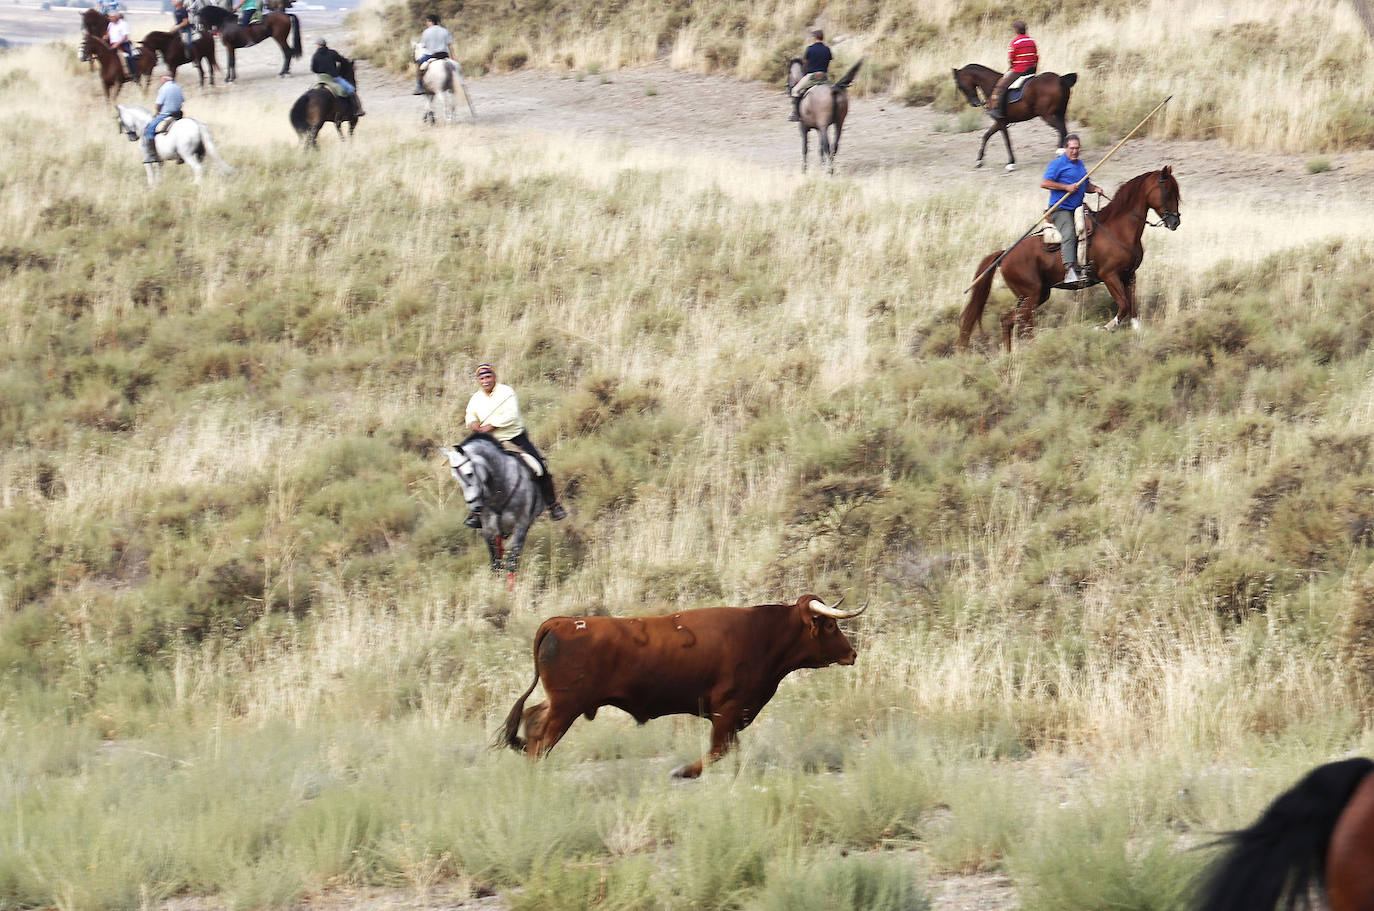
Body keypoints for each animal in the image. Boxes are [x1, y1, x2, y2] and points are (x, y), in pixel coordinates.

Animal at [439, 436, 546, 590]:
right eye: (455, 477)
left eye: (469, 473)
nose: (475, 506)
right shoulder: (489, 531)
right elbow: (495, 563)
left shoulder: (520, 528)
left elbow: (511, 562)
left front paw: (509, 591)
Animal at [494, 596, 862, 780]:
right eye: (831, 626)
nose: (852, 653)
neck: (763, 634)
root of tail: (562, 622)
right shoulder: (727, 709)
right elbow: (719, 749)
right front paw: (683, 771)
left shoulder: (733, 715)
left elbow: (730, 749)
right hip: (565, 707)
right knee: (541, 738)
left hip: (560, 704)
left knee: (532, 720)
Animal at [956, 169, 1181, 354]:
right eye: (1168, 191)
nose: (1175, 221)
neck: (1119, 229)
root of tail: (1005, 254)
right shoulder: (1110, 276)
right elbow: (1124, 305)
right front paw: (1102, 328)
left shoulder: (1129, 276)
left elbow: (1133, 307)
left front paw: (1138, 332)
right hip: (1032, 294)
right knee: (1023, 322)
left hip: (1034, 295)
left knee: (1008, 320)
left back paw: (1010, 355)